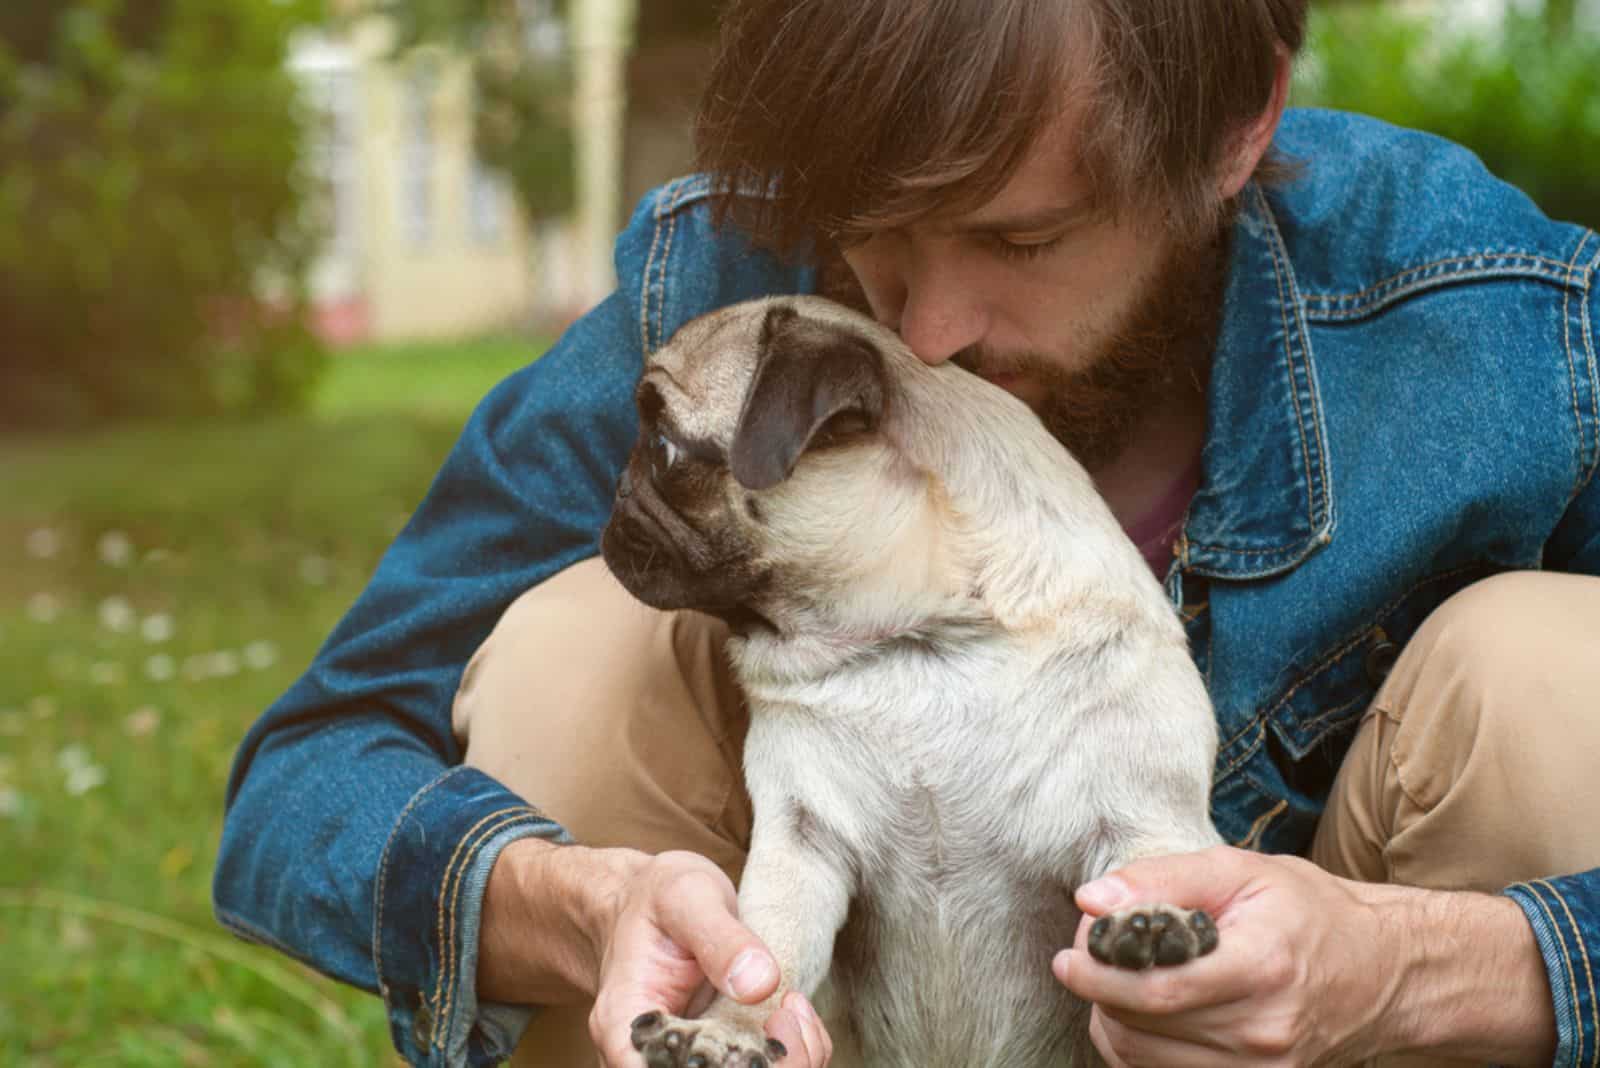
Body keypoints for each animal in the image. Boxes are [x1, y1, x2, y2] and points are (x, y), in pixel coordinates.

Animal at [601, 294, 1222, 1068]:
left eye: (662, 448)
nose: (615, 497)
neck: (919, 643)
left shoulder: (1144, 807)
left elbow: (1150, 864)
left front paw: (1153, 918)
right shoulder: (800, 841)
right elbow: (766, 959)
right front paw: (724, 1030)